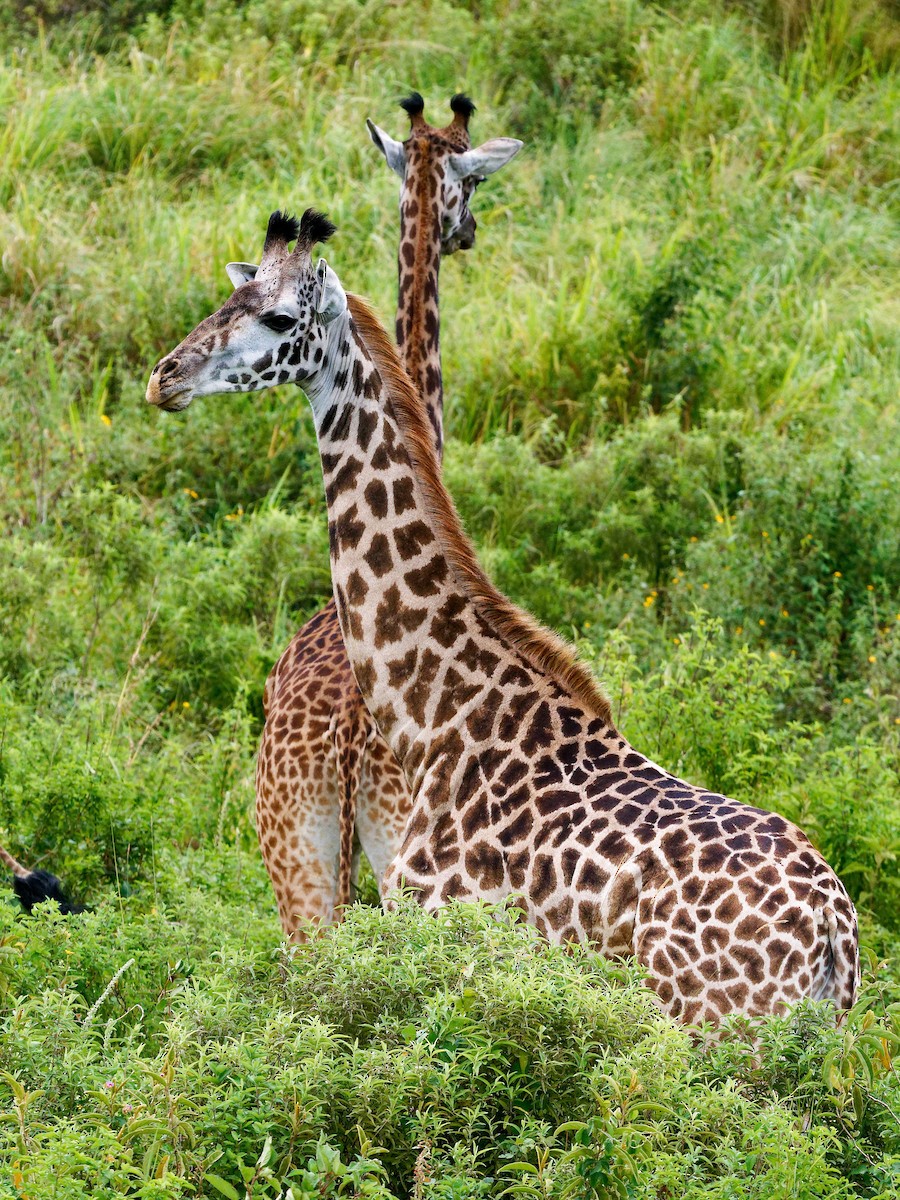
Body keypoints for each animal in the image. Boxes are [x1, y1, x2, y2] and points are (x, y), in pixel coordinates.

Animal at [147, 210, 859, 1025]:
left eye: (277, 319)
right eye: (227, 301)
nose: (165, 376)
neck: (433, 720)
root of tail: (834, 931)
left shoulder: (435, 931)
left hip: (710, 1024)